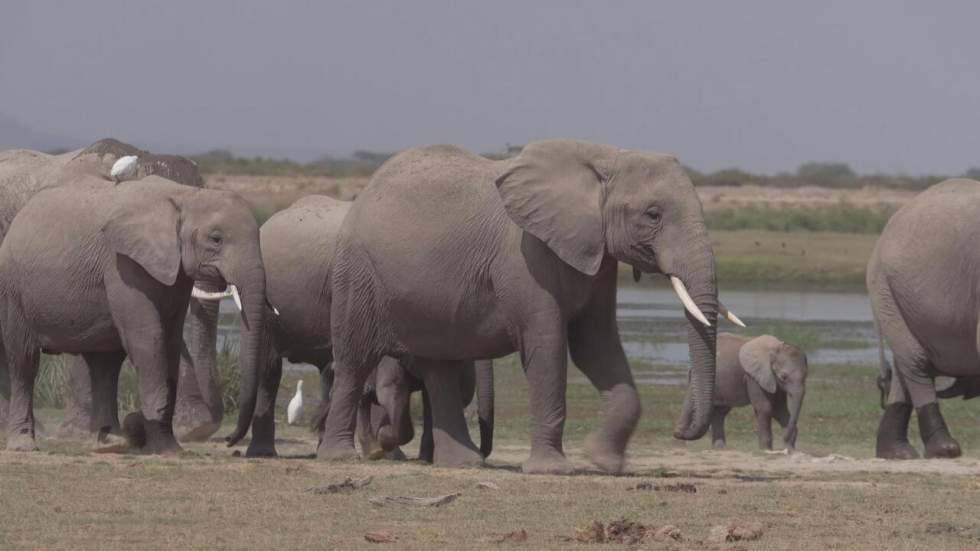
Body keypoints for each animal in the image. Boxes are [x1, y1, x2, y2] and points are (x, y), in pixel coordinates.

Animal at [0, 178, 268, 452]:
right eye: (216, 239)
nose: (229, 441)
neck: (185, 195)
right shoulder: (123, 265)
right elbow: (148, 339)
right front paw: (165, 450)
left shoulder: (175, 272)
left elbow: (170, 340)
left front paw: (167, 445)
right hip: (13, 290)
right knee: (24, 360)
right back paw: (24, 444)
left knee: (105, 365)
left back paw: (111, 441)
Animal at [306, 139, 736, 474]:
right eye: (653, 214)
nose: (681, 432)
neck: (604, 157)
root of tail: (362, 193)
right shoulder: (525, 257)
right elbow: (547, 346)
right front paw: (554, 470)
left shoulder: (597, 258)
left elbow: (597, 345)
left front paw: (603, 461)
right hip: (357, 275)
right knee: (354, 360)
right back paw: (342, 456)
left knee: (439, 368)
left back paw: (463, 463)